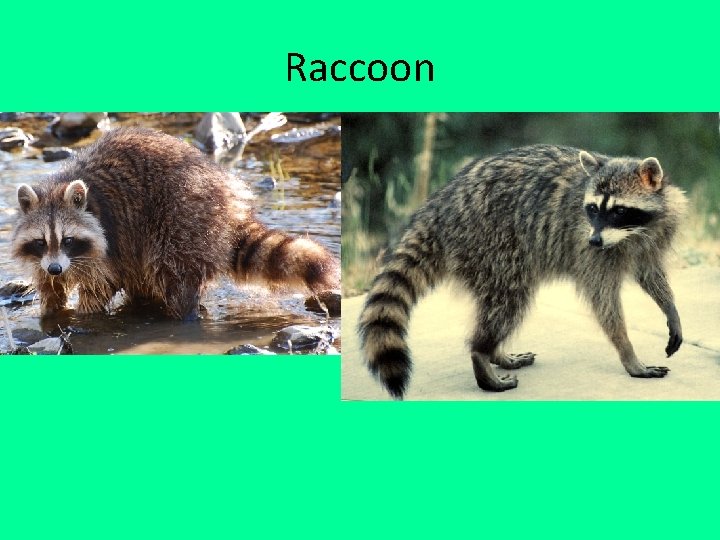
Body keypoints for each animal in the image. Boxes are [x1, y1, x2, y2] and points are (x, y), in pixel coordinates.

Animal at [11, 128, 339, 319]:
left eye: (68, 239)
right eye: (40, 241)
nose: (56, 268)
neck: (59, 186)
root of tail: (230, 195)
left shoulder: (105, 245)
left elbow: (99, 285)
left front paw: (85, 317)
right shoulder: (45, 258)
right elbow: (49, 287)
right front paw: (51, 311)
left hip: (185, 218)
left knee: (173, 272)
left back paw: (184, 314)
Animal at [359, 144, 687, 399]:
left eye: (619, 210)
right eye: (593, 208)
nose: (594, 240)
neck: (632, 232)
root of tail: (439, 207)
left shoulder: (654, 233)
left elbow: (650, 273)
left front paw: (670, 308)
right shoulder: (588, 249)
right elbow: (604, 302)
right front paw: (627, 352)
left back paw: (495, 353)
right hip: (489, 242)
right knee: (509, 299)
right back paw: (481, 353)